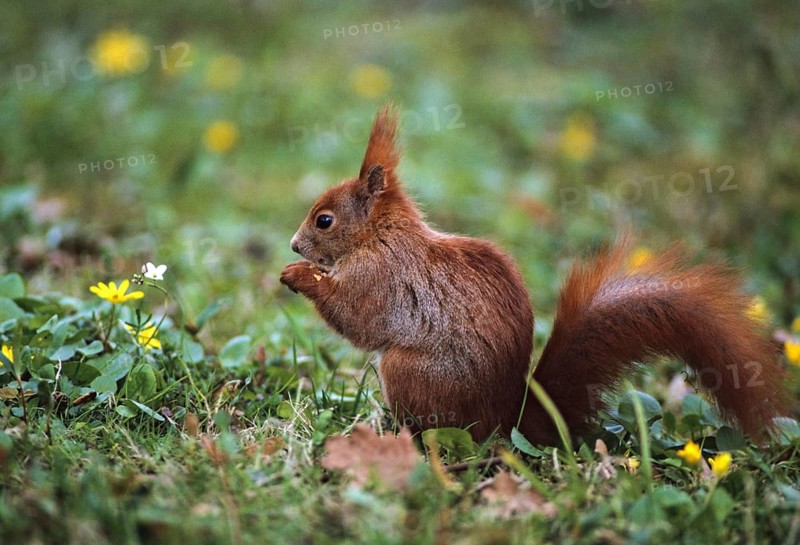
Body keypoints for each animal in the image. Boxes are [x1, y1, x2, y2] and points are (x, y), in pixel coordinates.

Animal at [280, 104, 790, 444]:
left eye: (324, 220)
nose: (294, 245)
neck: (379, 235)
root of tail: (506, 421)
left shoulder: (382, 276)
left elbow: (358, 317)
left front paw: (298, 275)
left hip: (410, 374)